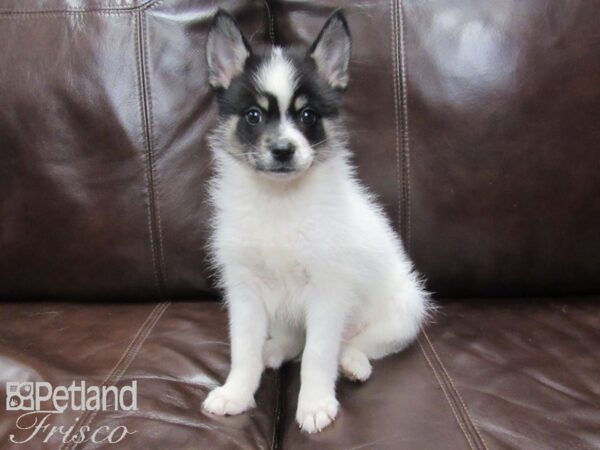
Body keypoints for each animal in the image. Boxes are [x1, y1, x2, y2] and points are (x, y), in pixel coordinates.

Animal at [204, 9, 428, 432]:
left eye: (308, 115)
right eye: (253, 116)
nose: (282, 150)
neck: (280, 201)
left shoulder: (328, 291)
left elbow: (318, 354)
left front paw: (314, 403)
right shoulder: (245, 290)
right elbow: (244, 349)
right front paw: (236, 392)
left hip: (406, 310)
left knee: (356, 342)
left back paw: (353, 362)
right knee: (293, 340)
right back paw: (273, 352)